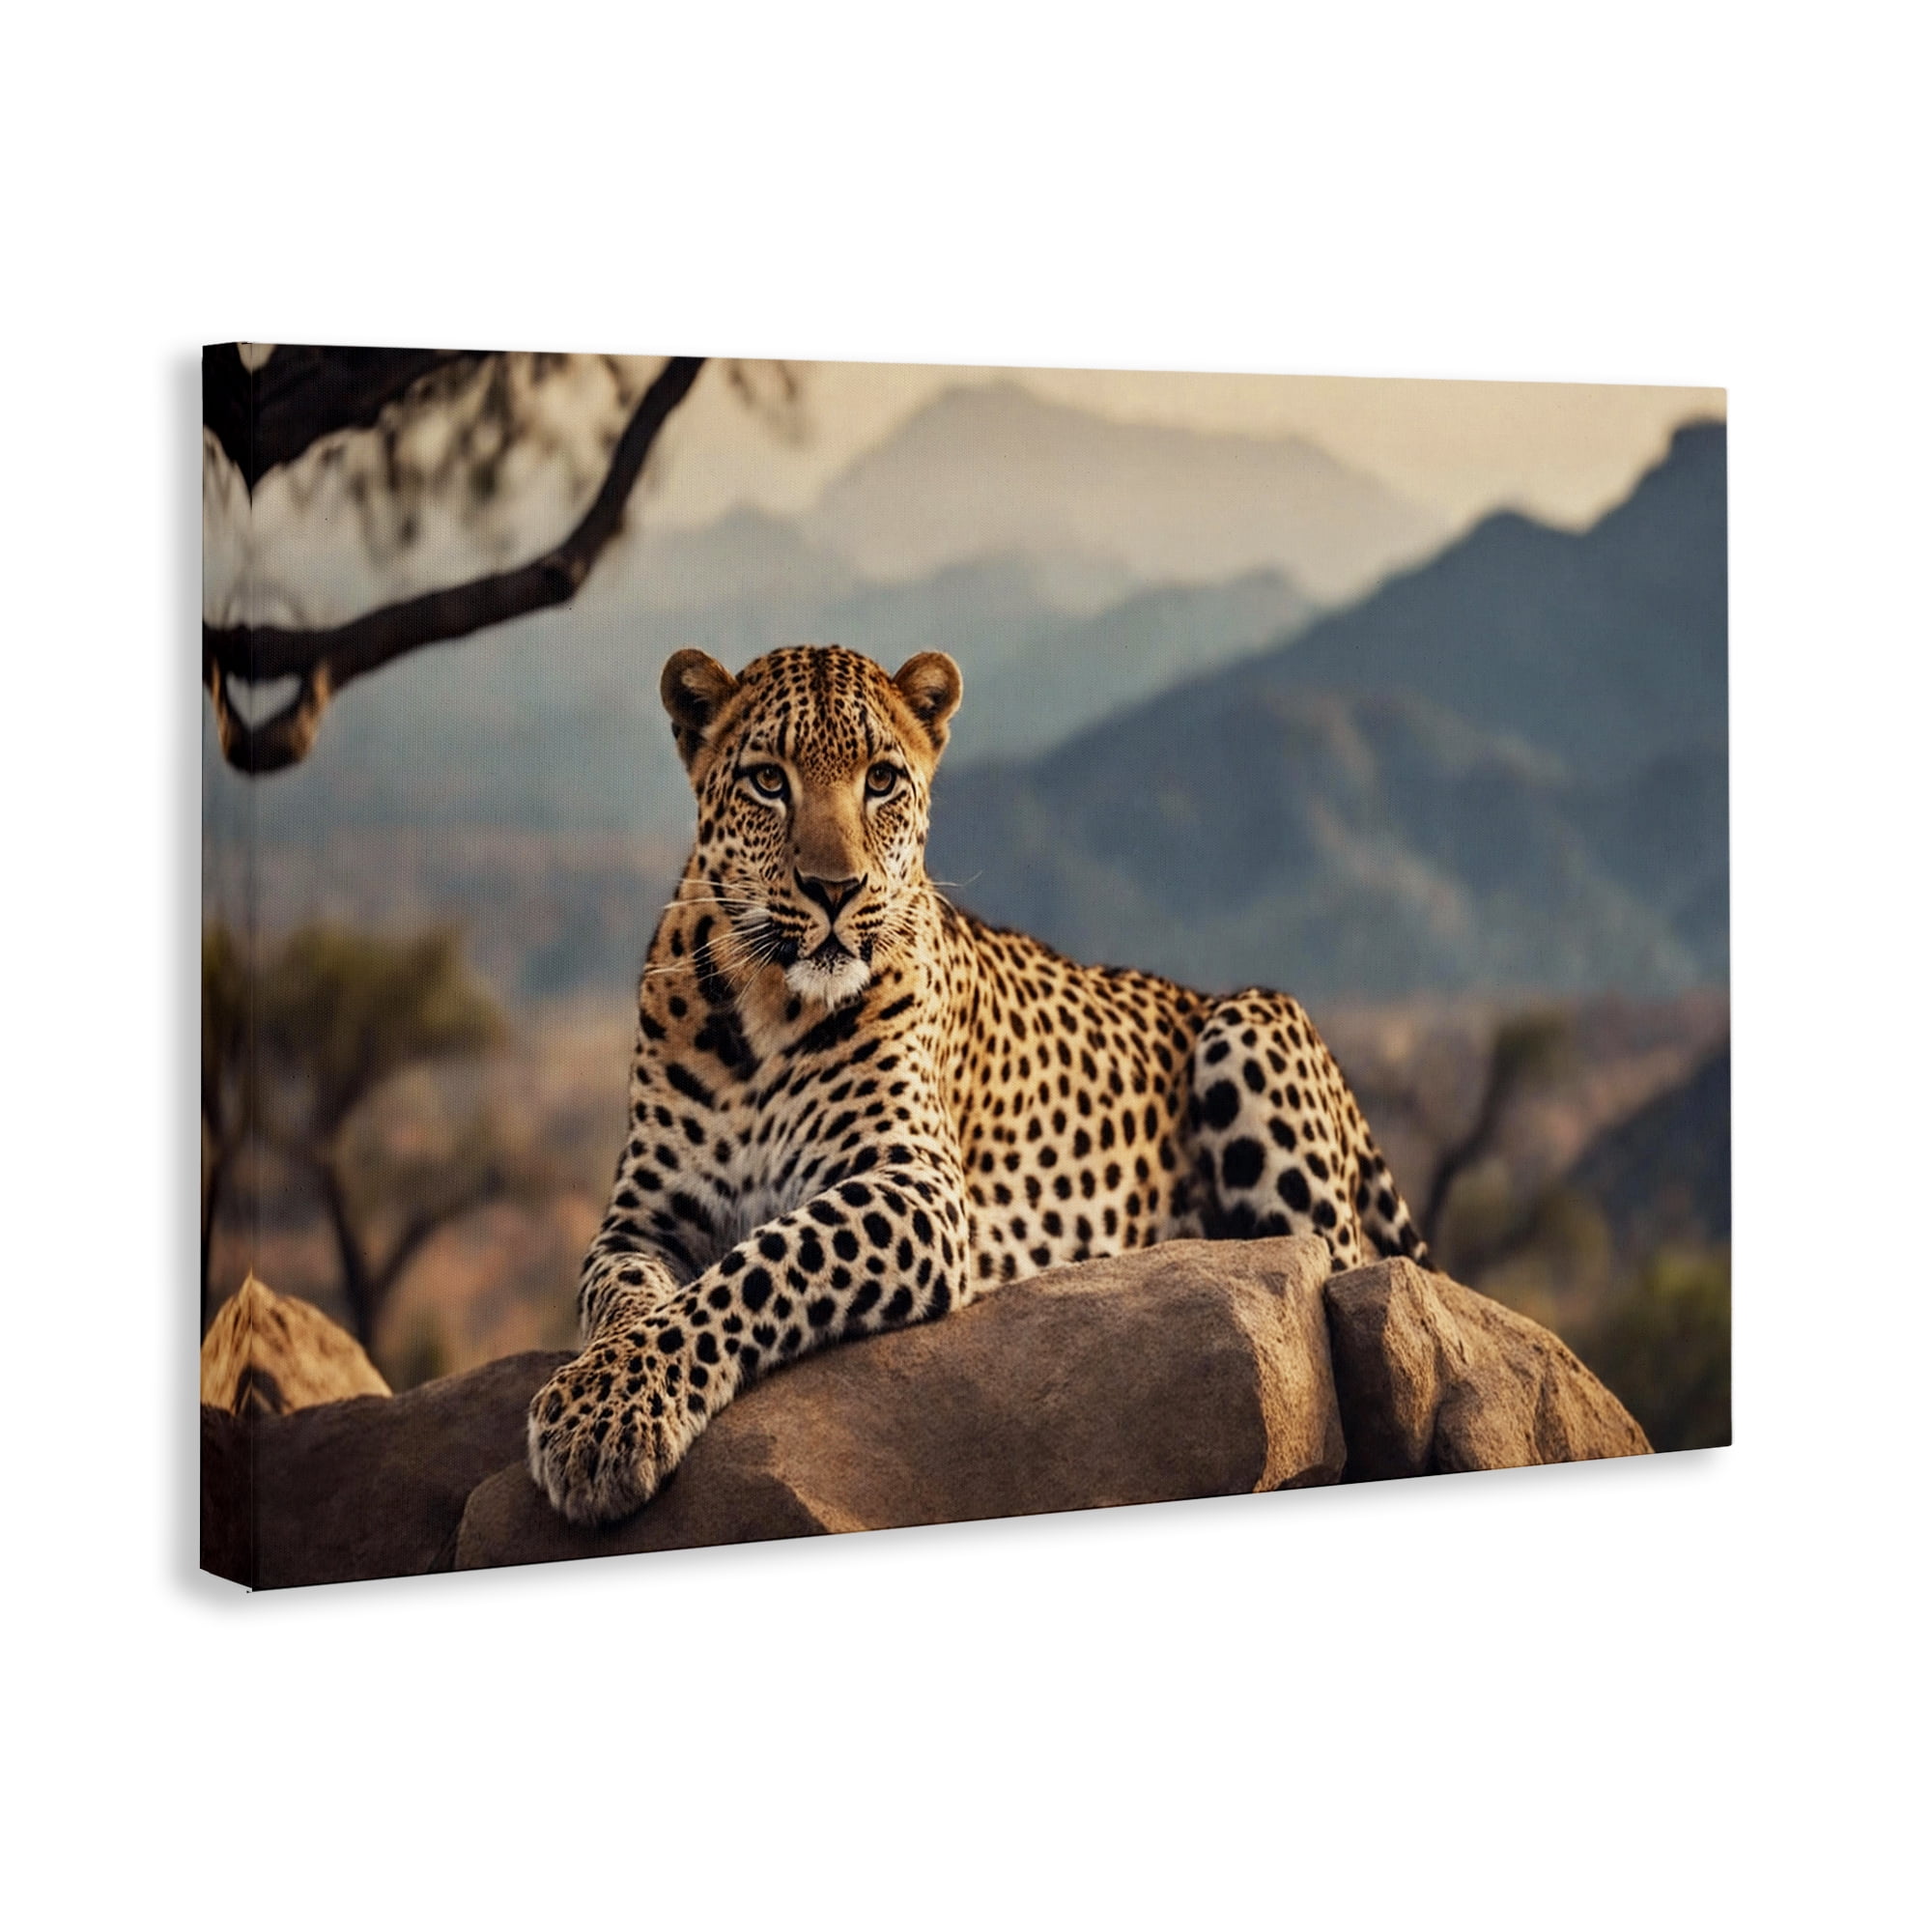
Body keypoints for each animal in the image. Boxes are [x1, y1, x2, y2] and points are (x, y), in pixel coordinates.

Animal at [527, 643, 1429, 1525]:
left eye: (881, 780)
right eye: (769, 781)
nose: (834, 890)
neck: (766, 1008)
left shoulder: (914, 1185)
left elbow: (758, 1264)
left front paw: (604, 1414)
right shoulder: (642, 1218)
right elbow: (625, 1296)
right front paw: (601, 1390)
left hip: (1253, 1029)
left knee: (1334, 1265)